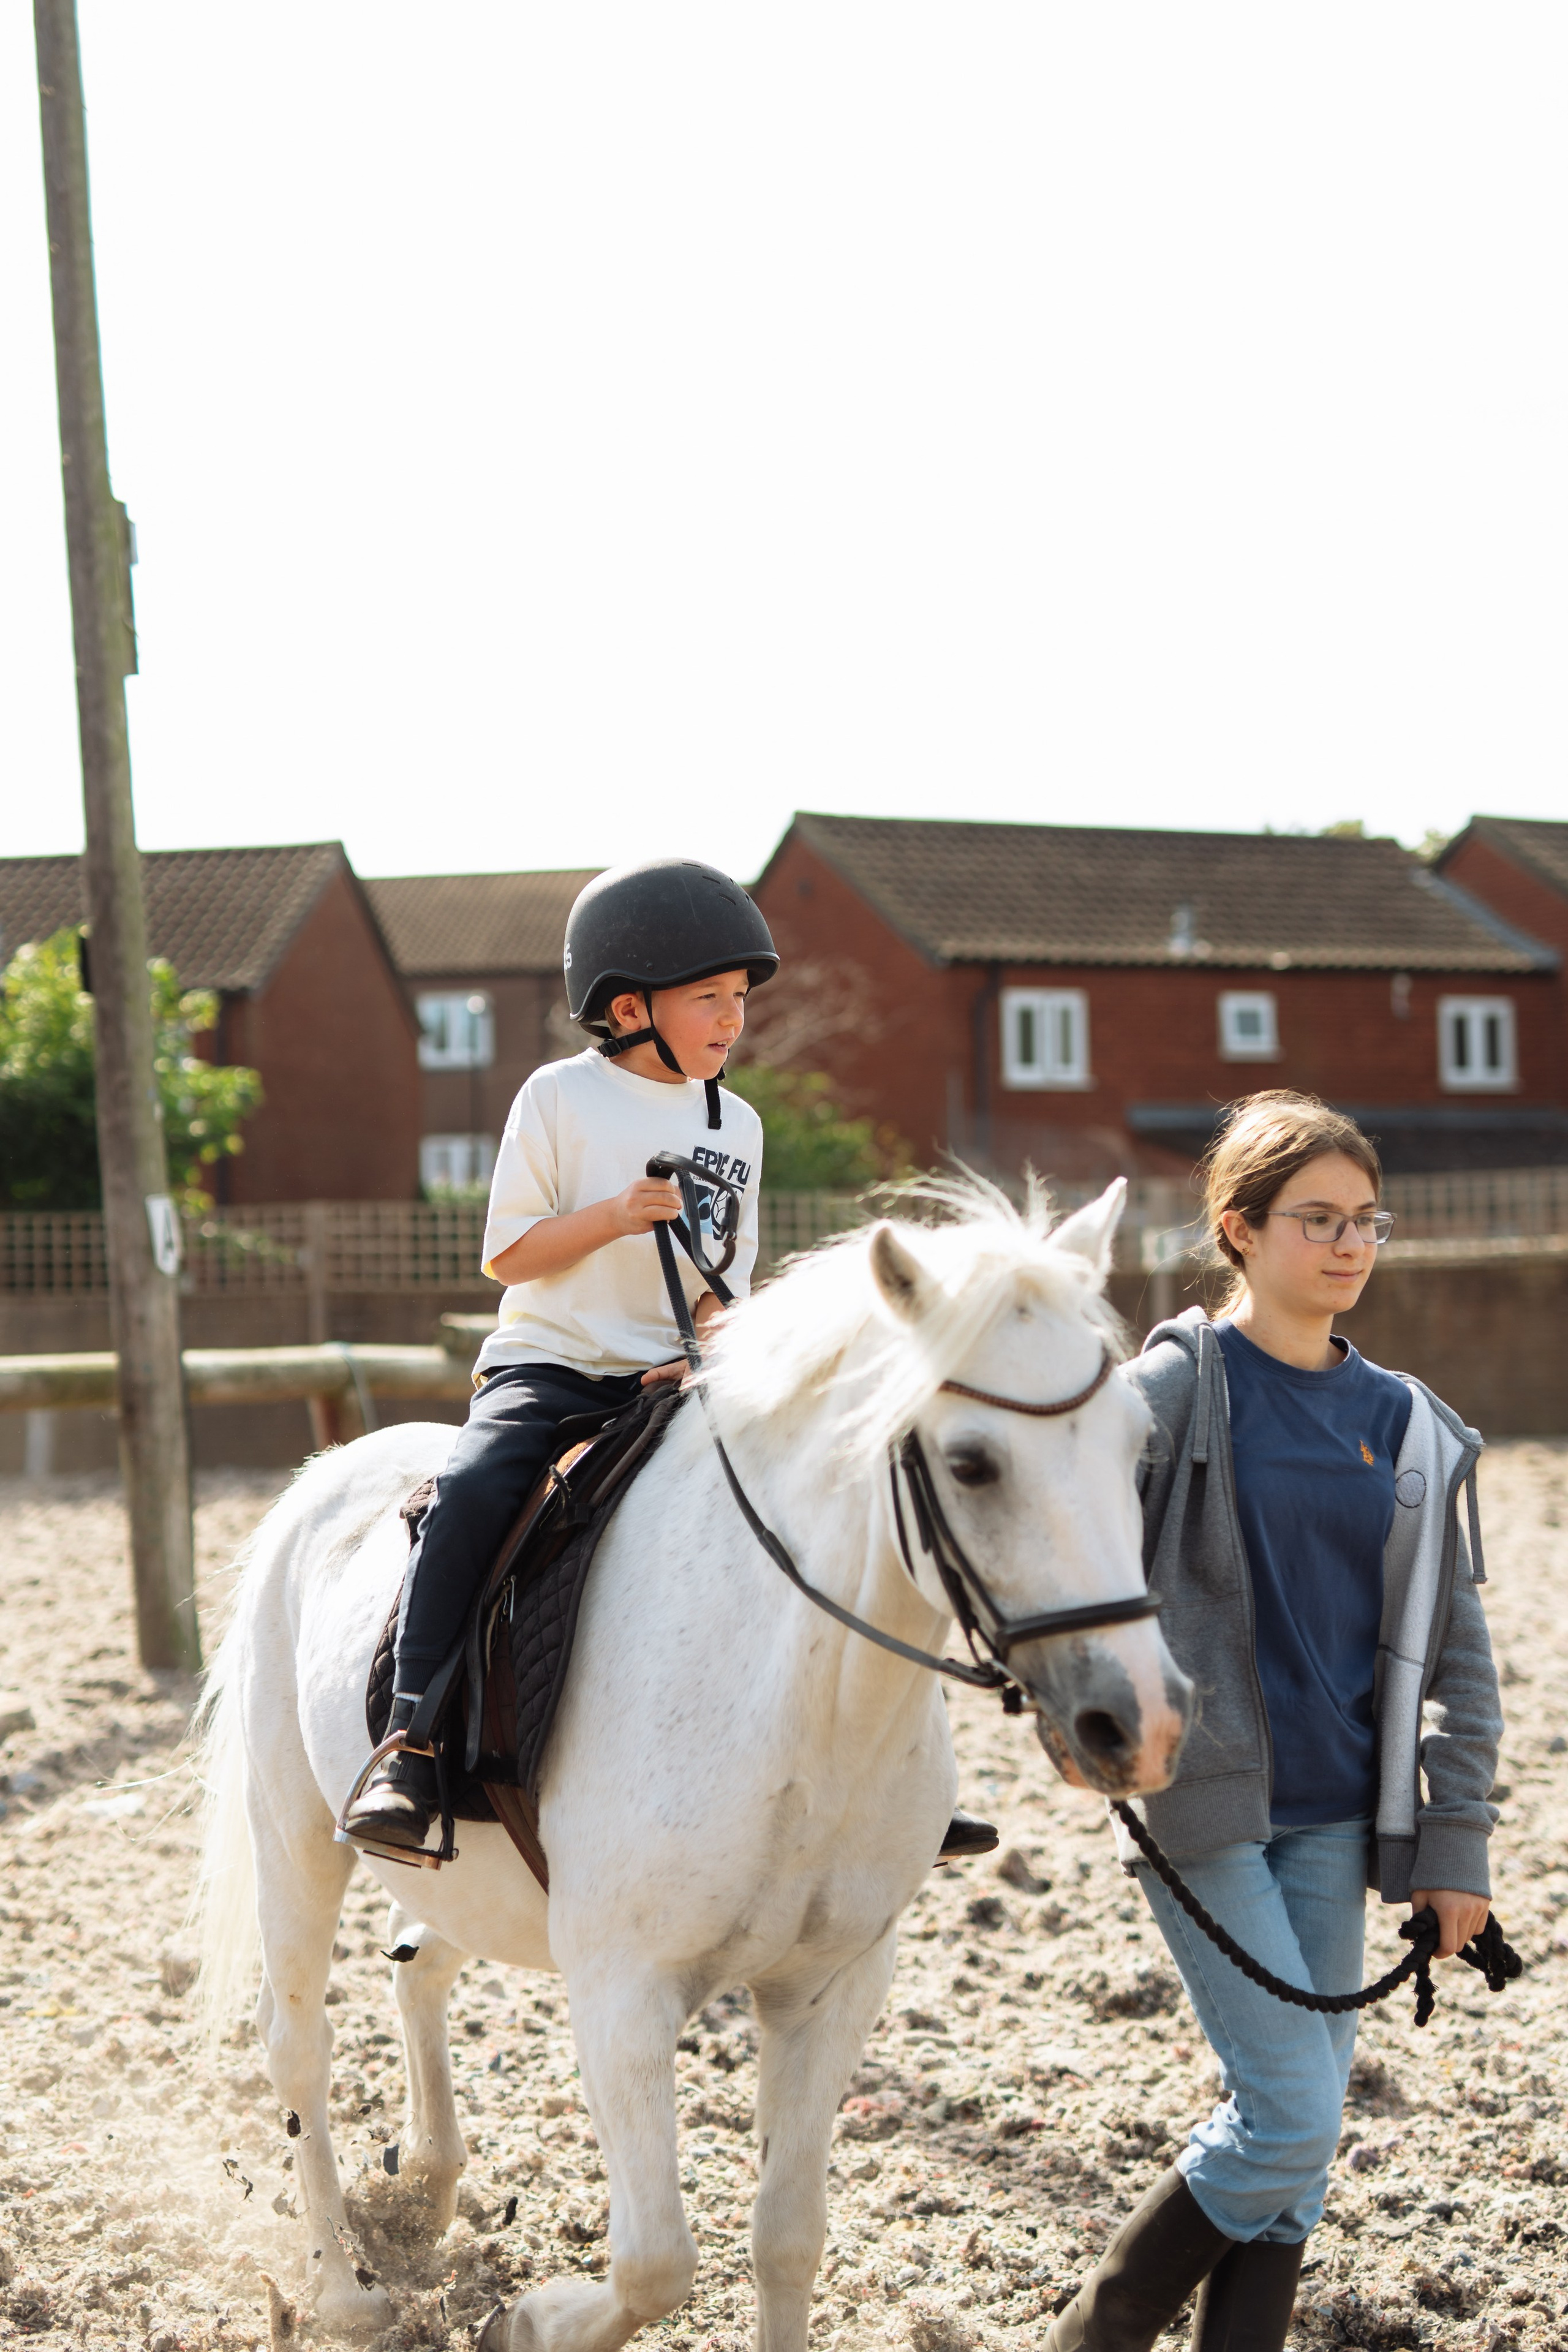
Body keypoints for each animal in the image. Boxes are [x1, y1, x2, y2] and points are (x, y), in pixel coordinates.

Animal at [195, 1177, 1193, 2348]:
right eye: (972, 1462)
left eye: (1137, 1445)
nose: (1142, 1721)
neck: (801, 1702)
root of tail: (326, 1476)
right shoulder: (623, 1992)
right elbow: (655, 2263)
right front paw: (528, 2324)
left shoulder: (830, 1987)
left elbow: (787, 2238)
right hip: (298, 1840)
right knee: (296, 2041)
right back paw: (346, 2289)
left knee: (416, 1967)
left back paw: (428, 2191)